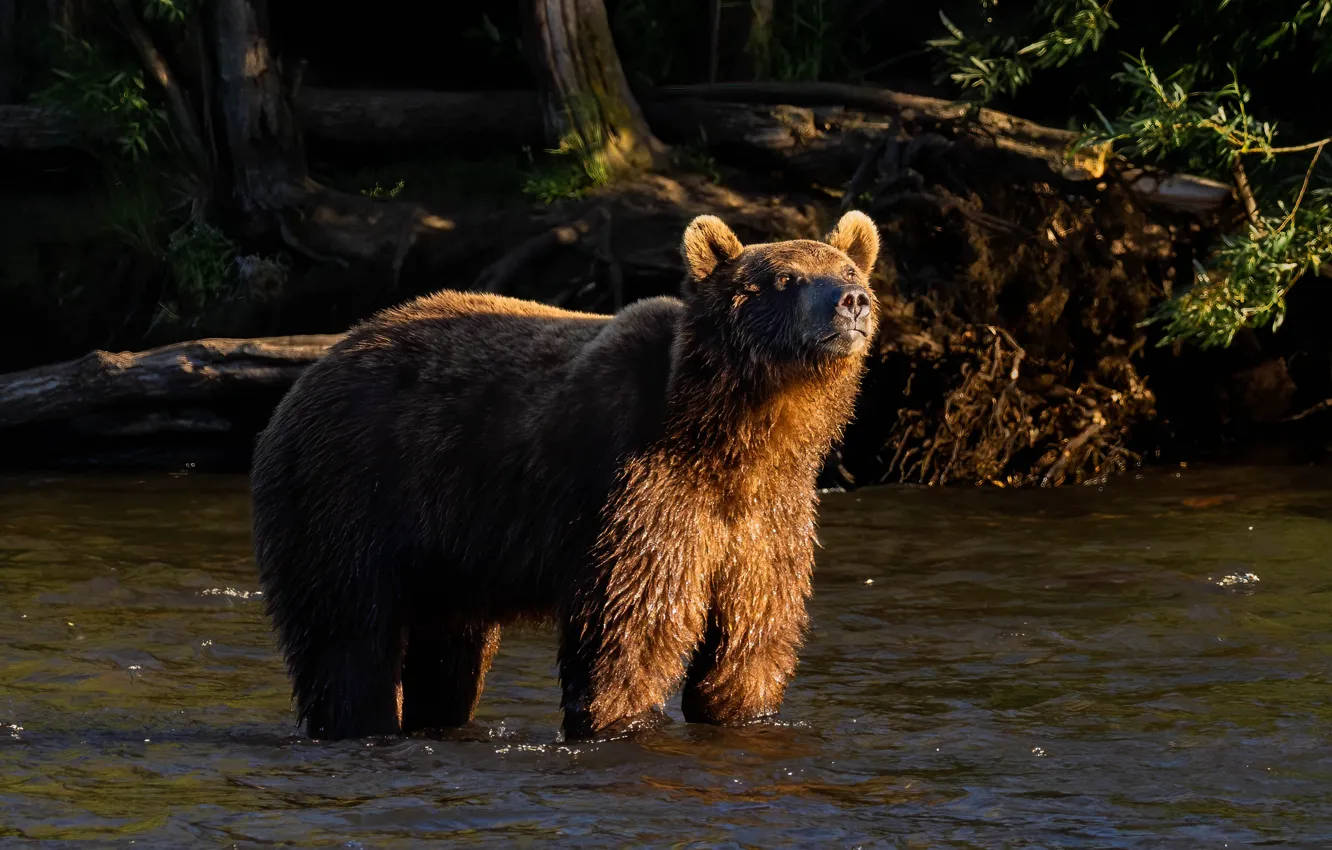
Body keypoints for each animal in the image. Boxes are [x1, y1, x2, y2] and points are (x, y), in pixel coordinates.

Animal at [250, 210, 880, 740]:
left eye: (847, 268)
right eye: (787, 279)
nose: (851, 302)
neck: (735, 437)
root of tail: (314, 369)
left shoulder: (767, 516)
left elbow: (752, 632)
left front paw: (737, 707)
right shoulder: (641, 488)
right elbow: (630, 625)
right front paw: (618, 717)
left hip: (445, 554)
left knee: (448, 655)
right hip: (350, 493)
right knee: (350, 637)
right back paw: (362, 720)